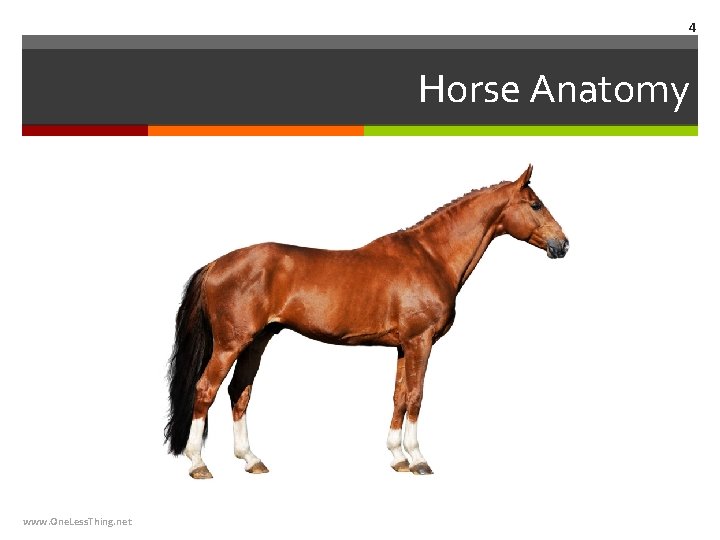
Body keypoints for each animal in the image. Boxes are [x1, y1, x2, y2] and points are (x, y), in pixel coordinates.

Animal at [165, 164, 569, 478]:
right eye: (535, 204)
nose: (562, 244)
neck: (431, 256)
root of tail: (215, 265)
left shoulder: (405, 345)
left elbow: (399, 396)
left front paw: (397, 457)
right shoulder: (420, 342)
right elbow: (416, 396)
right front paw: (418, 459)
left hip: (257, 341)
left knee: (239, 393)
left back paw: (251, 460)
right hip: (231, 344)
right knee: (206, 390)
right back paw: (198, 464)